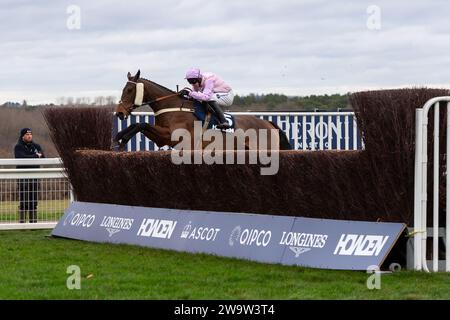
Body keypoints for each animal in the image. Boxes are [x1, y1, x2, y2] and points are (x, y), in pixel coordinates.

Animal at [111, 70, 292, 150]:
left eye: (129, 90)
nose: (120, 112)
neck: (171, 107)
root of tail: (269, 124)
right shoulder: (162, 138)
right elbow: (139, 125)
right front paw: (119, 138)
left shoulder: (173, 136)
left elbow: (141, 124)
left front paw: (122, 139)